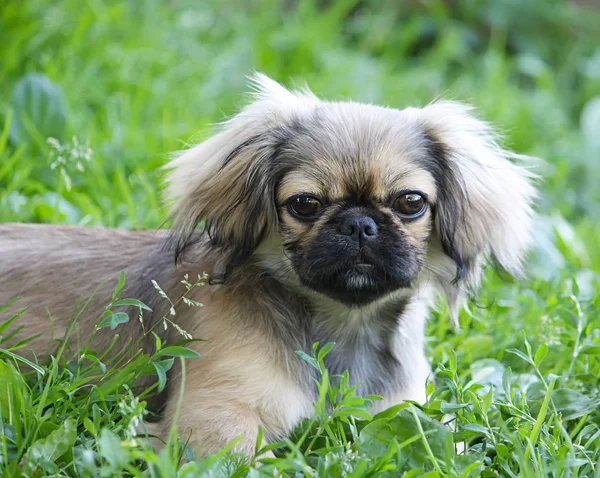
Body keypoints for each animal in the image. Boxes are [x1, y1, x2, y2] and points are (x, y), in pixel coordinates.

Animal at [0, 74, 536, 456]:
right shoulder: (213, 424)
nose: (360, 224)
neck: (343, 329)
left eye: (410, 202)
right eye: (304, 204)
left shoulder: (409, 413)